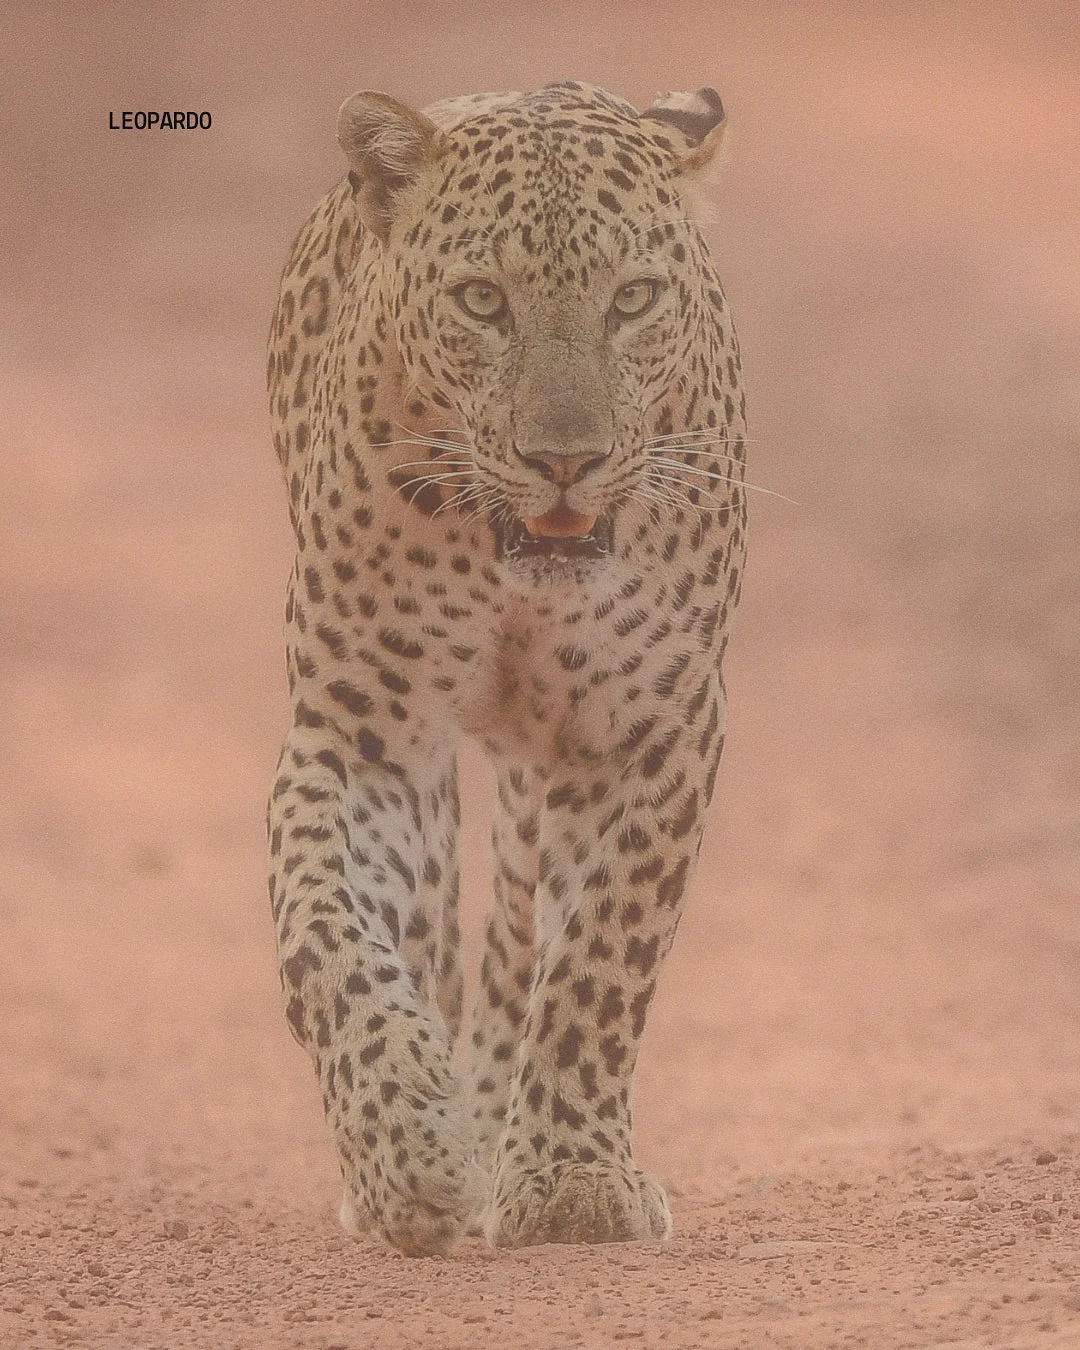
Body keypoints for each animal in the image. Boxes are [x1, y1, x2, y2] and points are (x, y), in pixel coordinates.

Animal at [266, 79, 746, 1257]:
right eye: (484, 301)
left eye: (633, 299)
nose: (564, 460)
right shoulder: (365, 736)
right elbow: (328, 940)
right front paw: (408, 1150)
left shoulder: (650, 729)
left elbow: (600, 959)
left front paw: (572, 1177)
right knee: (435, 933)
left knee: (523, 933)